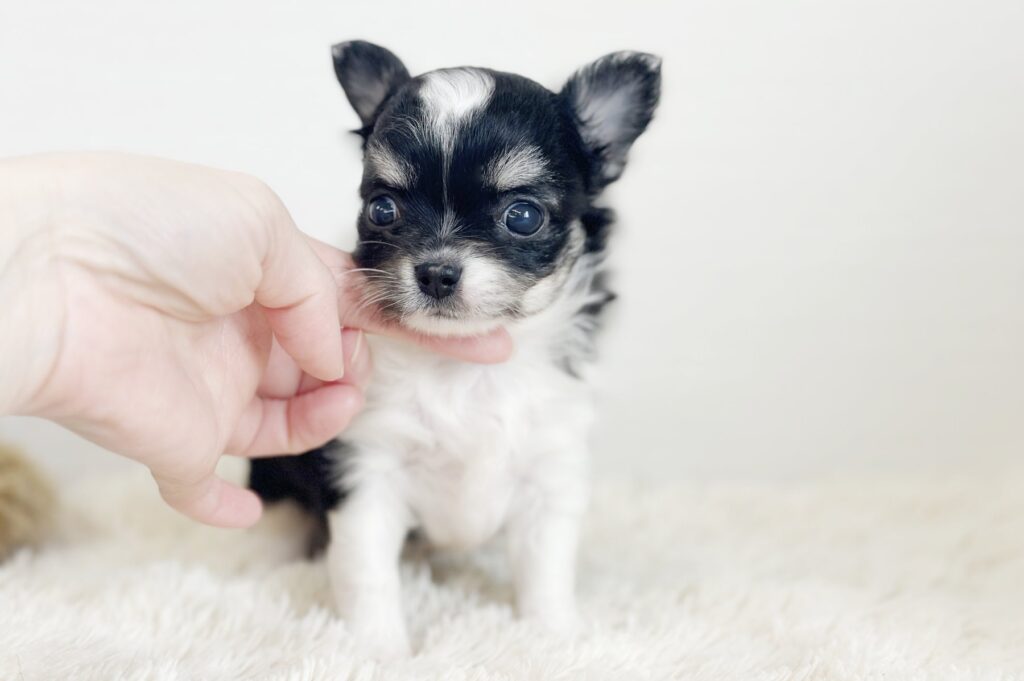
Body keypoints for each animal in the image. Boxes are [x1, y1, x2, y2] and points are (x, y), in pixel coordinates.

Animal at [250, 40, 661, 657]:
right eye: (382, 210)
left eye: (523, 216)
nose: (436, 271)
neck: (464, 365)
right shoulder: (367, 470)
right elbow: (366, 573)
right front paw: (378, 650)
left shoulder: (550, 472)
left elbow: (546, 569)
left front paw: (555, 636)